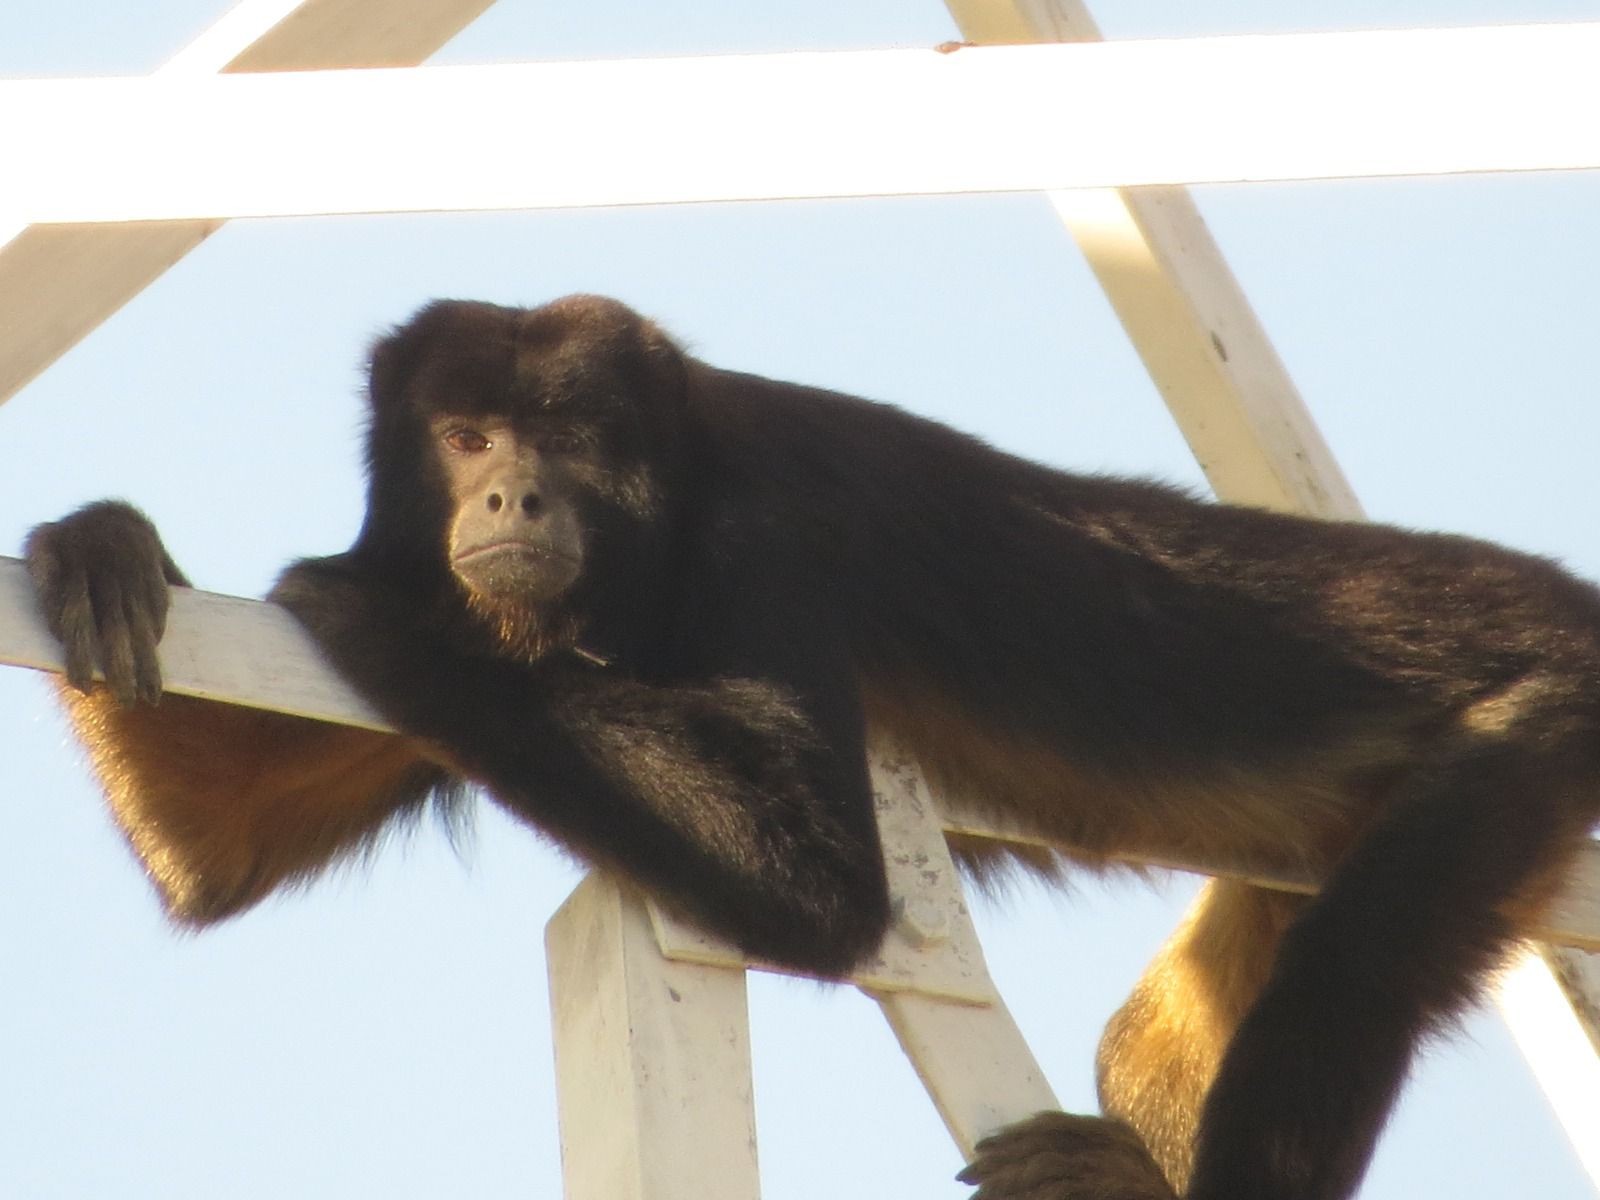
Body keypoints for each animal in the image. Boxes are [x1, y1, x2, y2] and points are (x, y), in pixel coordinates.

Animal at [21, 296, 1600, 1200]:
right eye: (465, 435)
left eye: (567, 436)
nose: (514, 497)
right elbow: (216, 843)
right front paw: (105, 546)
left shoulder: (763, 530)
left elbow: (822, 889)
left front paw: (386, 625)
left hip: (1538, 717)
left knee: (1359, 965)